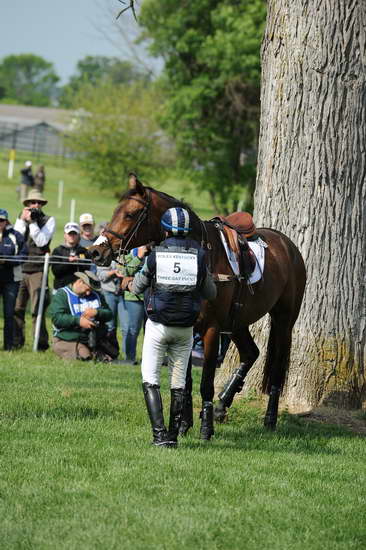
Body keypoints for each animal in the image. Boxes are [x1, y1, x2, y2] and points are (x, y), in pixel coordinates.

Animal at [88, 179, 306, 442]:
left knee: (277, 368)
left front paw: (205, 428)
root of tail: (289, 246)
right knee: (251, 353)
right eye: (115, 211)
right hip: (237, 322)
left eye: (130, 214)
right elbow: (186, 380)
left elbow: (205, 383)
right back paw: (223, 404)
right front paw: (183, 424)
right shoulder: (187, 328)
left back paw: (269, 418)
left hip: (283, 320)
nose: (96, 252)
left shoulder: (211, 330)